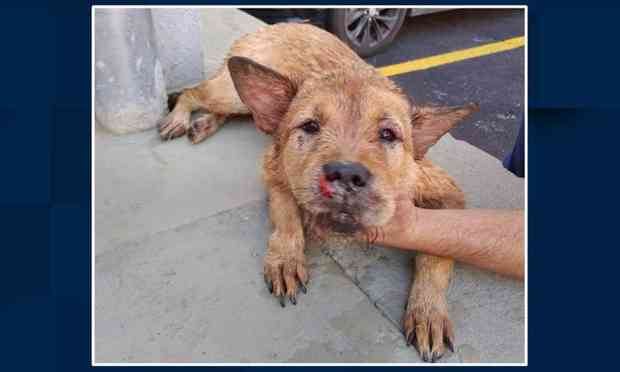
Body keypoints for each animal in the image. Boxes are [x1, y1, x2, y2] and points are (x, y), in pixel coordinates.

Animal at [157, 22, 478, 360]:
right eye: (310, 126)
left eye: (388, 134)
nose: (347, 175)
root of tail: (282, 24)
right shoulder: (274, 169)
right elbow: (286, 214)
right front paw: (286, 257)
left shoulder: (448, 194)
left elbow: (436, 254)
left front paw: (428, 311)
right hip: (230, 94)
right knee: (194, 92)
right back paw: (179, 119)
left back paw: (203, 124)